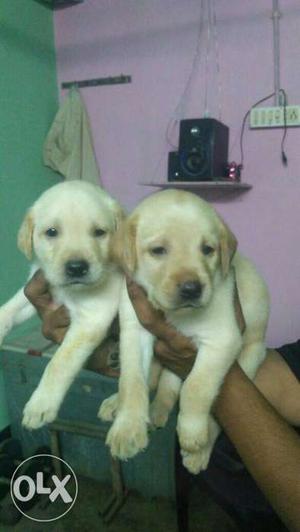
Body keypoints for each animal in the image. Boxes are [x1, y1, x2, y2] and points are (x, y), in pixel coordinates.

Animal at [0, 181, 124, 430]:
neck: (68, 291)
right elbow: (9, 309)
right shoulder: (41, 287)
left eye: (99, 232)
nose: (76, 267)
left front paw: (40, 404)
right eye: (51, 232)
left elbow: (59, 363)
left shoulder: (92, 318)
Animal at [99, 189, 270, 472]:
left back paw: (198, 450)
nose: (192, 289)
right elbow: (132, 382)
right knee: (157, 383)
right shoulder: (135, 332)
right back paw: (128, 405)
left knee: (214, 418)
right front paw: (127, 427)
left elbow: (195, 386)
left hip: (251, 356)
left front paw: (190, 431)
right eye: (158, 250)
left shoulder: (222, 339)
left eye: (208, 249)